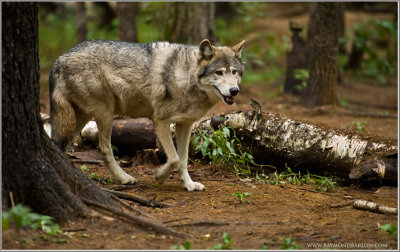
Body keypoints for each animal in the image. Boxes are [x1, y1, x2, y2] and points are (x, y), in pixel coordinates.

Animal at [48, 38, 245, 190]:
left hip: (79, 119)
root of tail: (59, 59)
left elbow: (183, 160)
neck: (186, 76)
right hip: (105, 114)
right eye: (219, 72)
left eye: (234, 72)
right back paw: (124, 178)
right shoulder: (160, 121)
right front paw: (160, 175)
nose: (235, 91)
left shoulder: (185, 125)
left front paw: (189, 185)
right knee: (104, 148)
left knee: (60, 144)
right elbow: (174, 159)